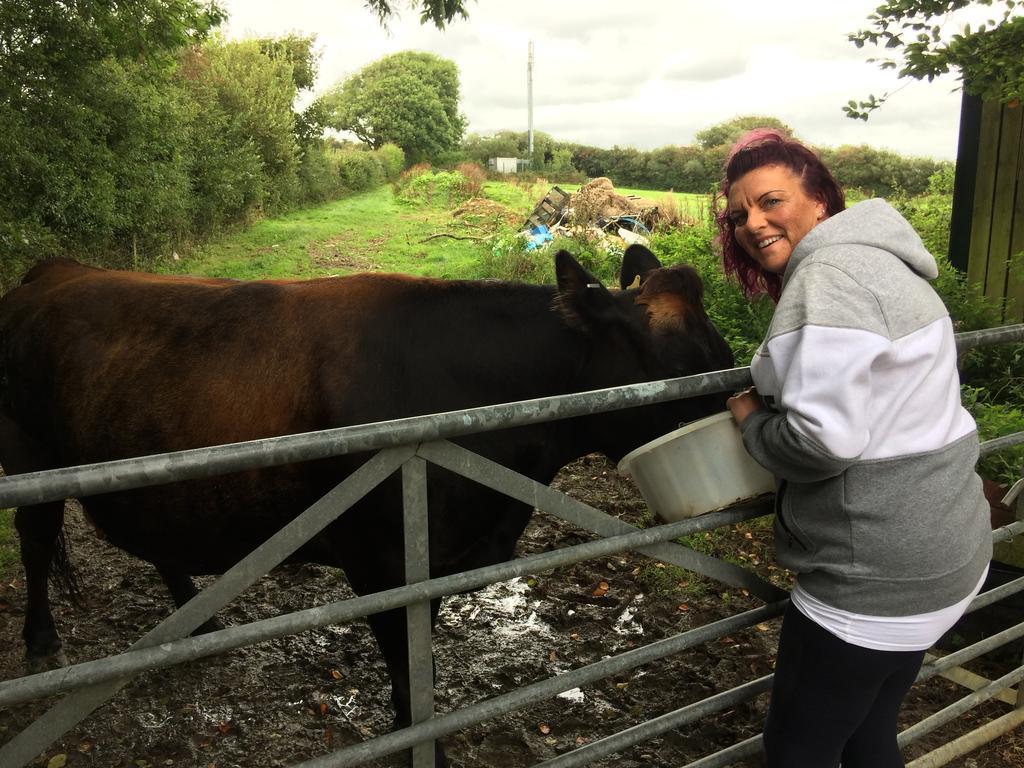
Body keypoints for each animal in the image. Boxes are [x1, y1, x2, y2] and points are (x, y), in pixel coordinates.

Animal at [2, 249, 737, 765]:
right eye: (689, 362)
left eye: (725, 349)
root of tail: (53, 271)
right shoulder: (386, 563)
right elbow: (411, 676)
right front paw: (421, 748)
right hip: (31, 463)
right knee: (35, 541)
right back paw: (40, 643)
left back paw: (196, 623)